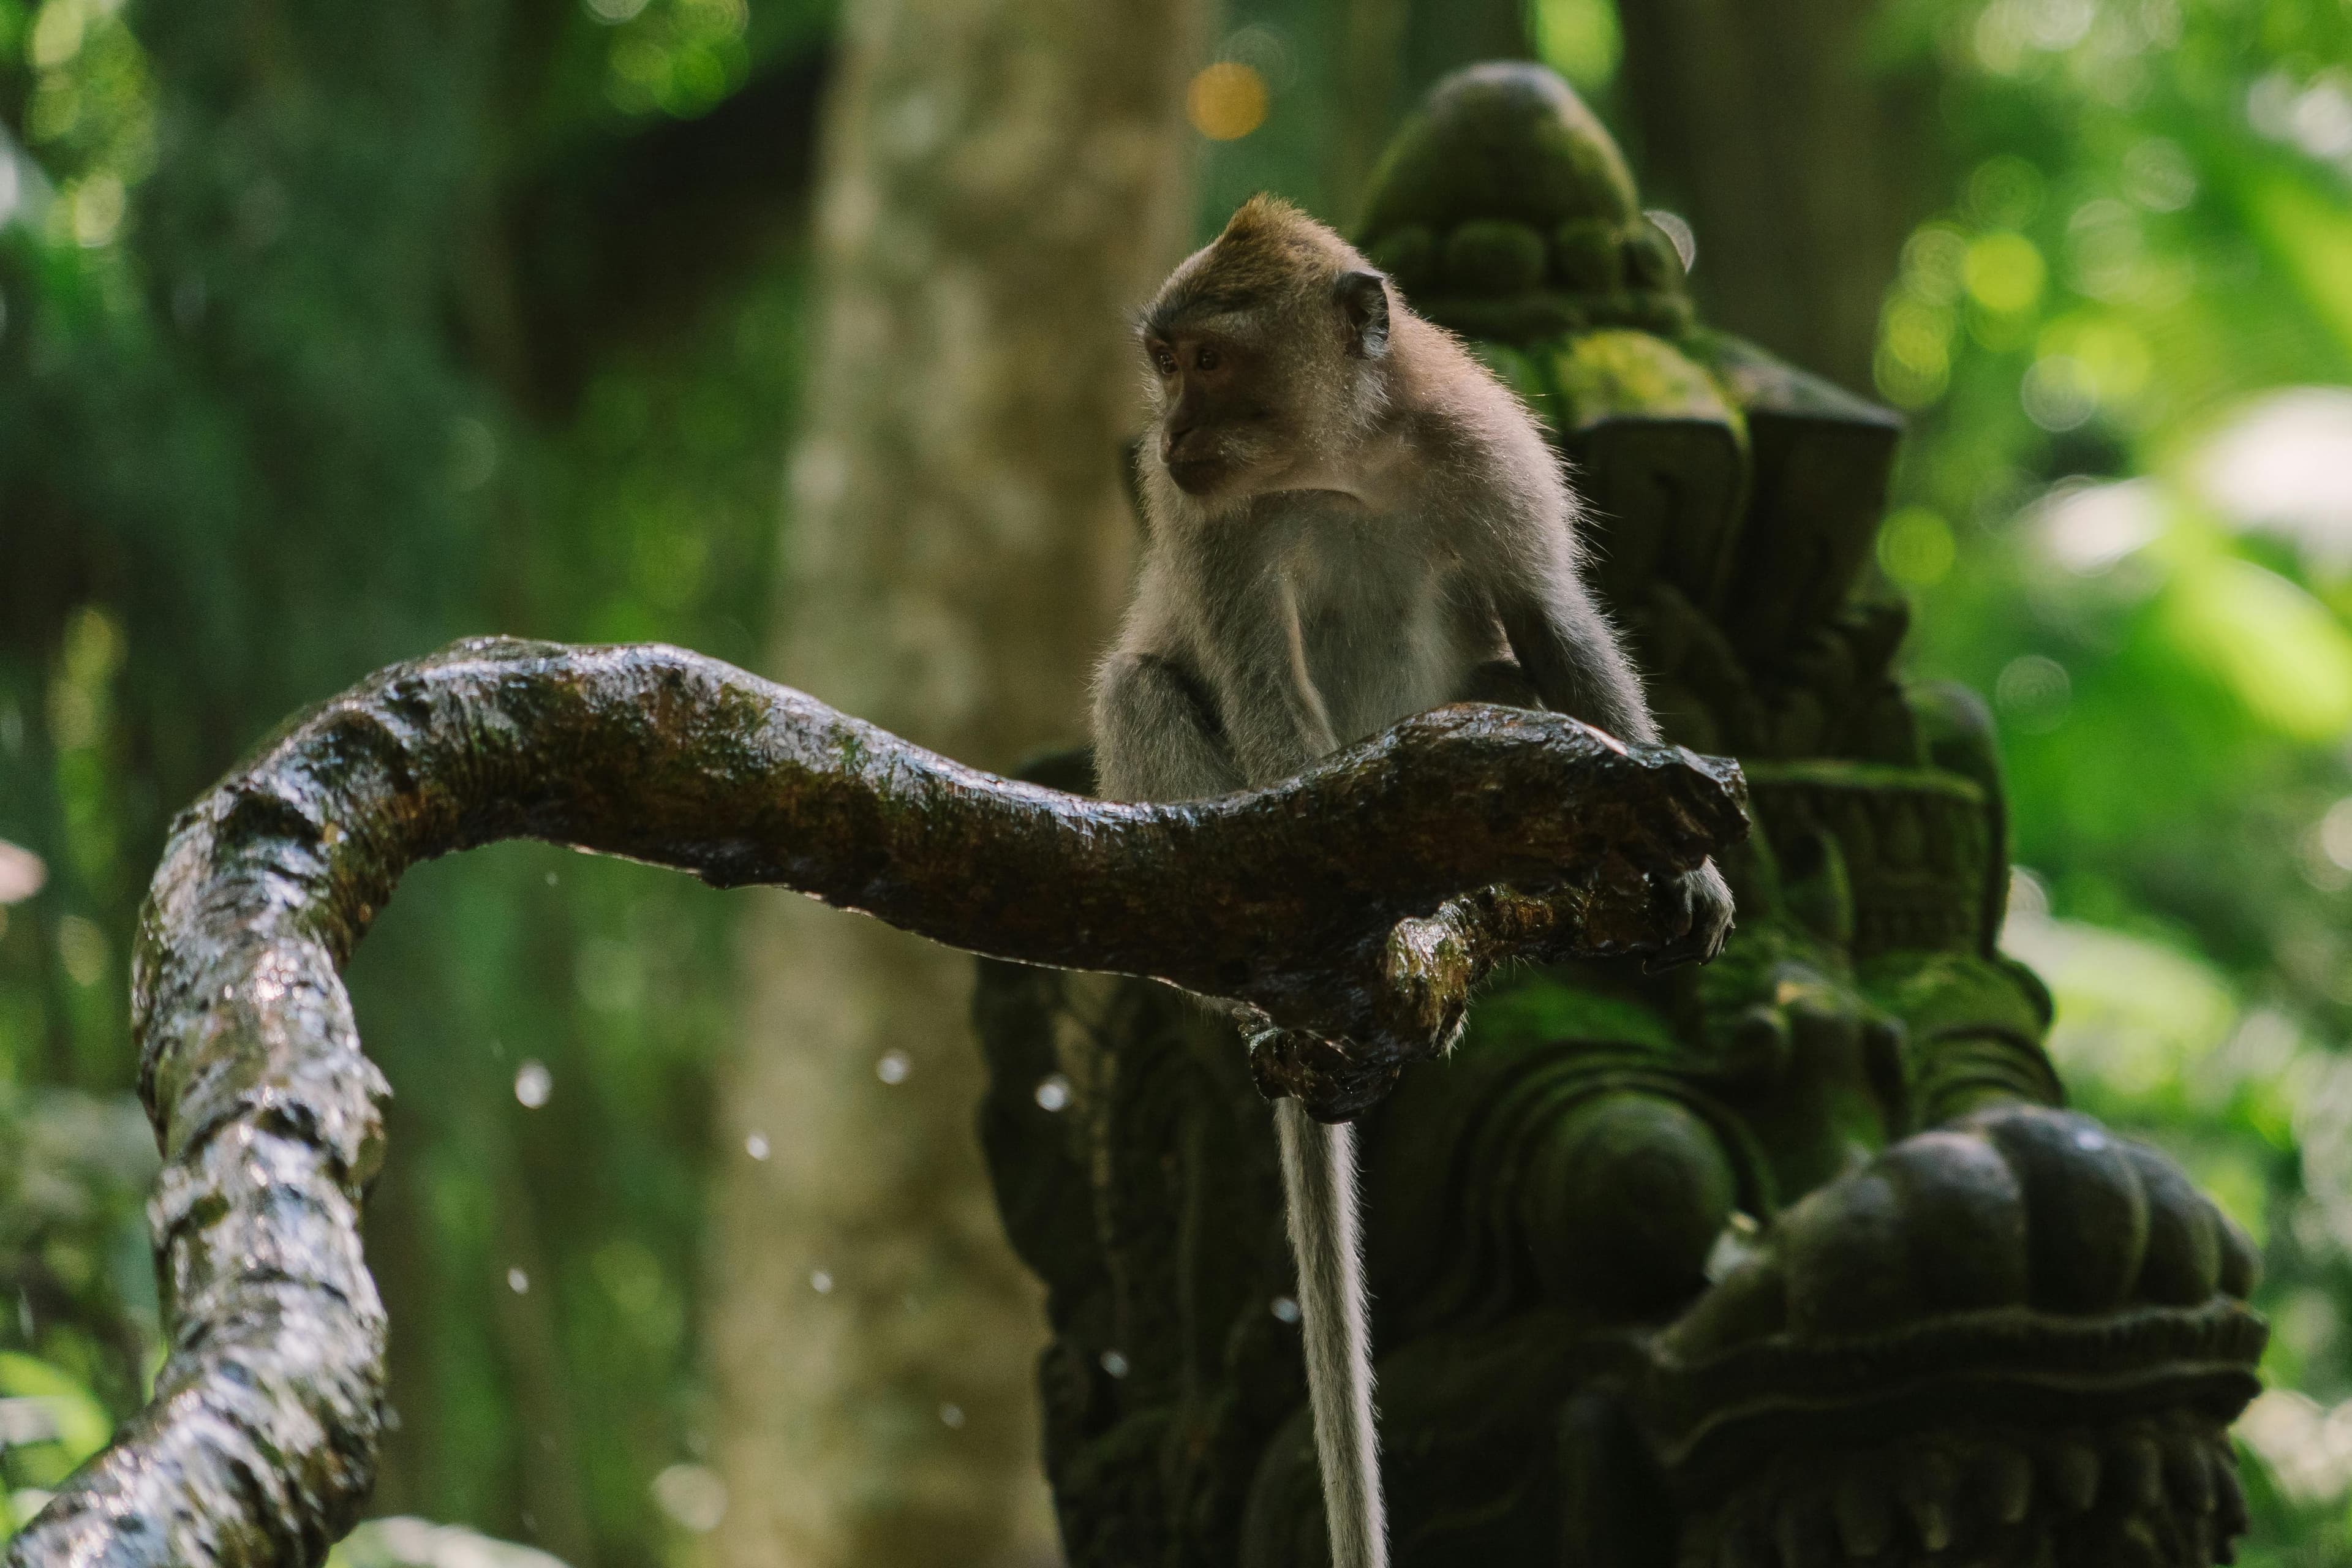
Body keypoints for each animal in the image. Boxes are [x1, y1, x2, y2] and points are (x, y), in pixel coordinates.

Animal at [1089, 195, 1734, 1568]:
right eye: (1164, 363)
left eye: (1207, 359)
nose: (1170, 433)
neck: (1343, 461)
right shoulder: (1210, 523)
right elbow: (1259, 684)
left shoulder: (1489, 455)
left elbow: (1548, 621)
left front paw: (1686, 859)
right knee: (1142, 687)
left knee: (1497, 676)